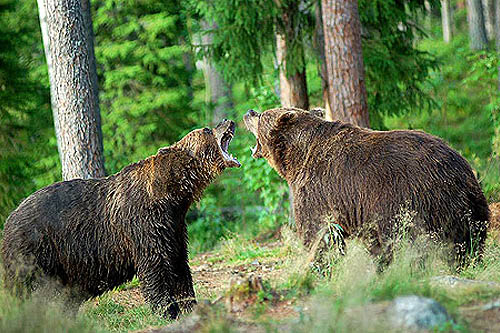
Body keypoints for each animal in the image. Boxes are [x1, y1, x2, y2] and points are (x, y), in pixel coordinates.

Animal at [1, 119, 240, 320]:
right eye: (207, 129)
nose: (229, 121)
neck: (172, 195)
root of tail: (9, 219)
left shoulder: (173, 226)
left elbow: (179, 265)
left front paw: (190, 305)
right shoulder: (143, 223)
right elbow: (156, 268)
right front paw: (167, 311)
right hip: (37, 249)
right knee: (32, 290)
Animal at [244, 107, 490, 266]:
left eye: (262, 115)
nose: (249, 112)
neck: (296, 159)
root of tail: (460, 172)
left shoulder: (318, 189)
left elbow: (316, 231)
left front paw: (319, 264)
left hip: (412, 197)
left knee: (404, 238)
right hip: (472, 205)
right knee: (470, 240)